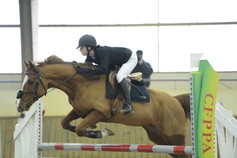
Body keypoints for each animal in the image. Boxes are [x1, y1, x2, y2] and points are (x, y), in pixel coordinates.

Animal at [15, 55, 191, 157]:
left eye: (31, 81)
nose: (19, 106)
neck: (81, 83)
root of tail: (175, 100)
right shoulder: (80, 110)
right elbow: (66, 123)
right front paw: (91, 128)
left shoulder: (101, 112)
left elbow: (80, 129)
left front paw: (101, 132)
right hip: (160, 138)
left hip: (173, 136)